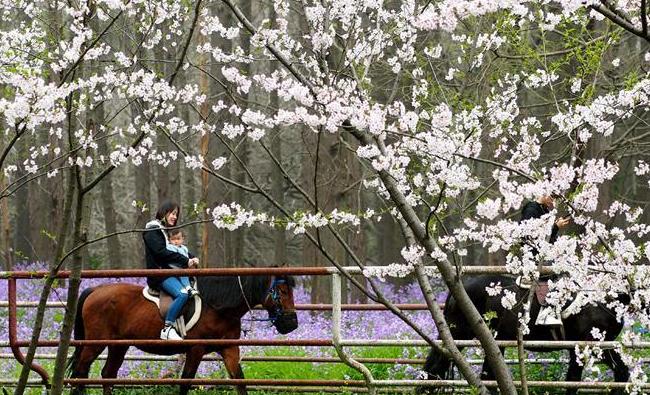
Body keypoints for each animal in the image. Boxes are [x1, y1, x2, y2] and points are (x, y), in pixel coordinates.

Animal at [67, 276, 296, 395]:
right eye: (283, 292)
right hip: (95, 343)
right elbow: (185, 382)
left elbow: (239, 381)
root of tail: (95, 290)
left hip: (118, 345)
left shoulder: (229, 349)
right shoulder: (195, 350)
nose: (292, 324)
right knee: (80, 372)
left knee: (108, 374)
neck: (217, 308)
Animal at [420, 276, 628, 395]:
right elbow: (575, 382)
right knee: (436, 365)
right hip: (459, 334)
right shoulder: (587, 346)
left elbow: (617, 373)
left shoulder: (592, 347)